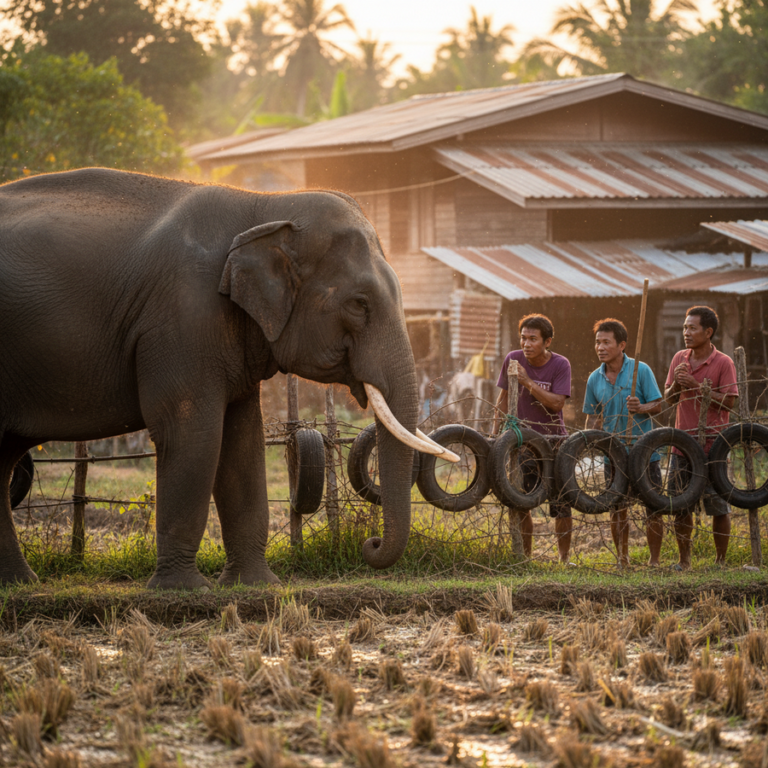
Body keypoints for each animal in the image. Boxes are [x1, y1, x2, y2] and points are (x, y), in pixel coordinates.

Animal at [0, 167, 454, 589]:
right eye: (359, 304)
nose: (369, 545)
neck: (264, 208)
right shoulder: (182, 319)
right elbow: (191, 432)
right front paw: (183, 590)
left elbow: (243, 439)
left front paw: (255, 585)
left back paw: (19, 582)